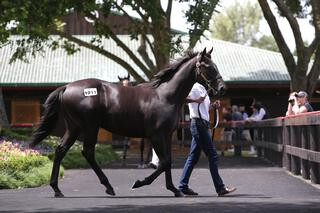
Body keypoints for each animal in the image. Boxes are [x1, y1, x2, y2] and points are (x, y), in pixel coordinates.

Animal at [29, 47, 225, 197]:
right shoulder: (155, 135)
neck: (165, 95)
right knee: (88, 152)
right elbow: (164, 162)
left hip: (74, 127)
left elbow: (167, 161)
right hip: (90, 127)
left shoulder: (166, 135)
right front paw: (139, 182)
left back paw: (57, 189)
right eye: (207, 66)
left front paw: (174, 189)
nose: (222, 88)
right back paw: (108, 187)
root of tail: (67, 87)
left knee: (61, 150)